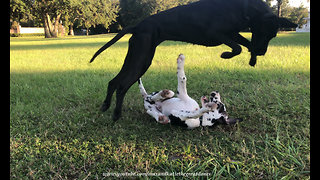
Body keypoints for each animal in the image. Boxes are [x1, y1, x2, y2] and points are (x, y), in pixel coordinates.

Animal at [89, 0, 298, 120]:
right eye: (263, 31)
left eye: (273, 35)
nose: (262, 52)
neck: (243, 7)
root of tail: (138, 25)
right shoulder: (217, 33)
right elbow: (238, 47)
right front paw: (227, 55)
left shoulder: (232, 33)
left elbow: (245, 44)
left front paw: (252, 58)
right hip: (141, 59)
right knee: (122, 85)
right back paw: (116, 114)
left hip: (138, 57)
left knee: (114, 81)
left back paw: (106, 106)